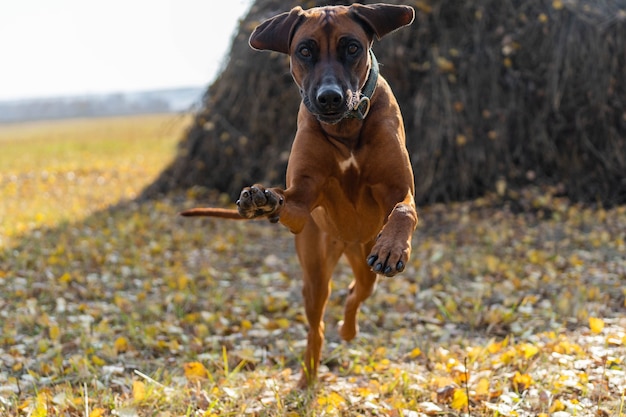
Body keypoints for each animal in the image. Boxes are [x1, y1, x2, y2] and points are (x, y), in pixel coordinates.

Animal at [179, 2, 414, 386]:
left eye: (352, 47)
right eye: (305, 50)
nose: (330, 98)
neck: (345, 129)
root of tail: (347, 242)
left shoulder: (400, 189)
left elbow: (403, 210)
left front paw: (393, 247)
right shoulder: (303, 199)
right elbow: (288, 197)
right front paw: (261, 201)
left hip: (364, 258)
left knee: (358, 291)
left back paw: (348, 330)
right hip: (315, 271)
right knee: (317, 325)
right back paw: (308, 376)